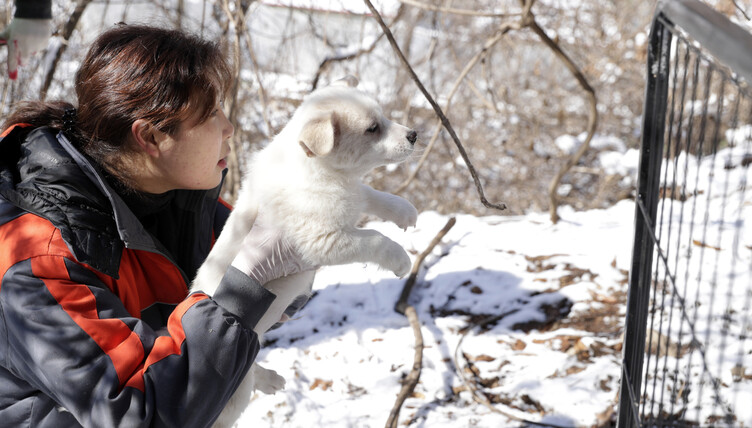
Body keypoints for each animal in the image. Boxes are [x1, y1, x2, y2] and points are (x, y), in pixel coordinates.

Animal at [189, 75, 418, 426]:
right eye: (372, 128)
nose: (414, 135)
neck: (319, 169)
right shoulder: (323, 241)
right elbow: (375, 238)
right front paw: (401, 260)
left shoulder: (351, 196)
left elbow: (370, 195)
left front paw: (404, 210)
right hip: (232, 396)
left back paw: (270, 379)